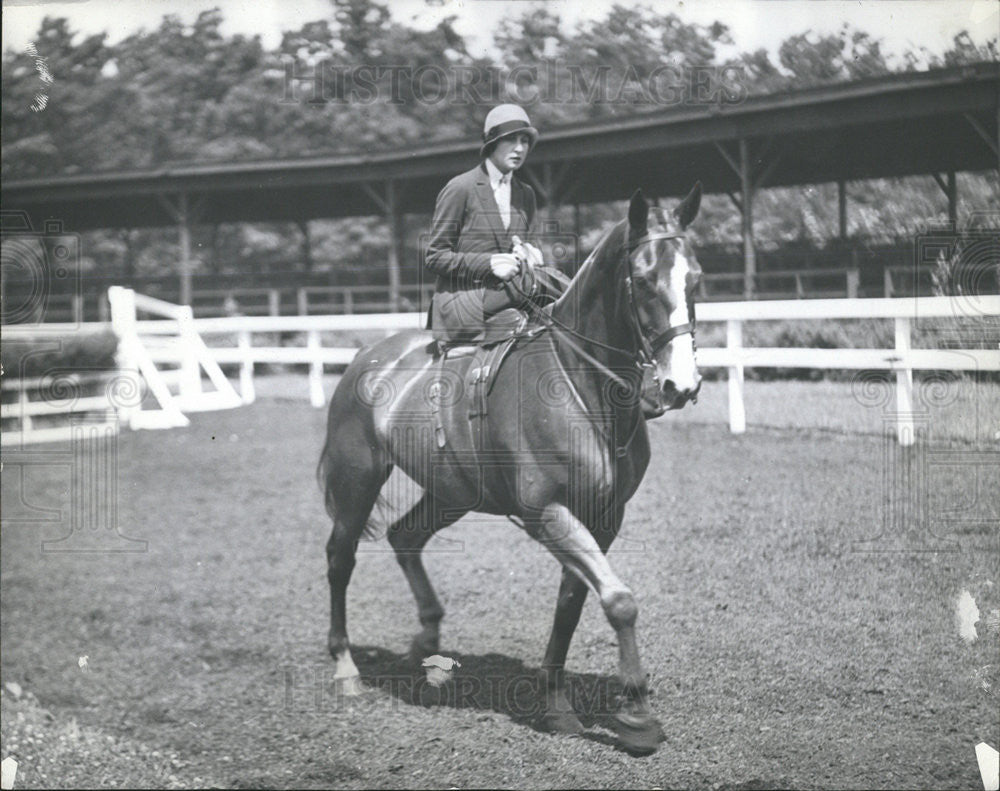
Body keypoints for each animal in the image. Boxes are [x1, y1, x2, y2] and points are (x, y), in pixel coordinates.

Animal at [318, 184, 704, 756]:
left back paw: (430, 651)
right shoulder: (549, 511)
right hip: (357, 480)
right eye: (643, 279)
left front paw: (557, 702)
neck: (582, 386)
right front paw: (637, 716)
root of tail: (366, 358)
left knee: (405, 537)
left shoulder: (604, 517)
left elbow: (573, 603)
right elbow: (619, 600)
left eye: (695, 277)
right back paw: (346, 668)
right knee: (340, 558)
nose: (680, 385)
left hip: (452, 493)